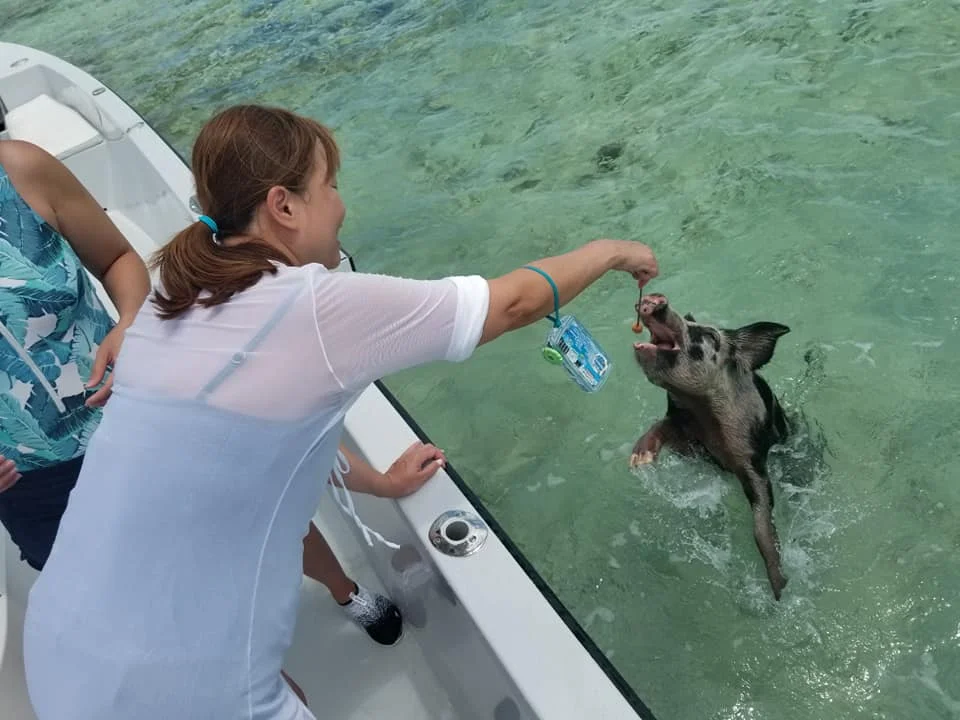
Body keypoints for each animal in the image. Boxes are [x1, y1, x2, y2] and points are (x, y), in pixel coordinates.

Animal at [629, 293, 791, 601]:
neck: (704, 414)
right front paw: (638, 459)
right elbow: (660, 427)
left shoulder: (752, 458)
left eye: (708, 335)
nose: (654, 299)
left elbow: (762, 519)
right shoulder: (683, 432)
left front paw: (779, 590)